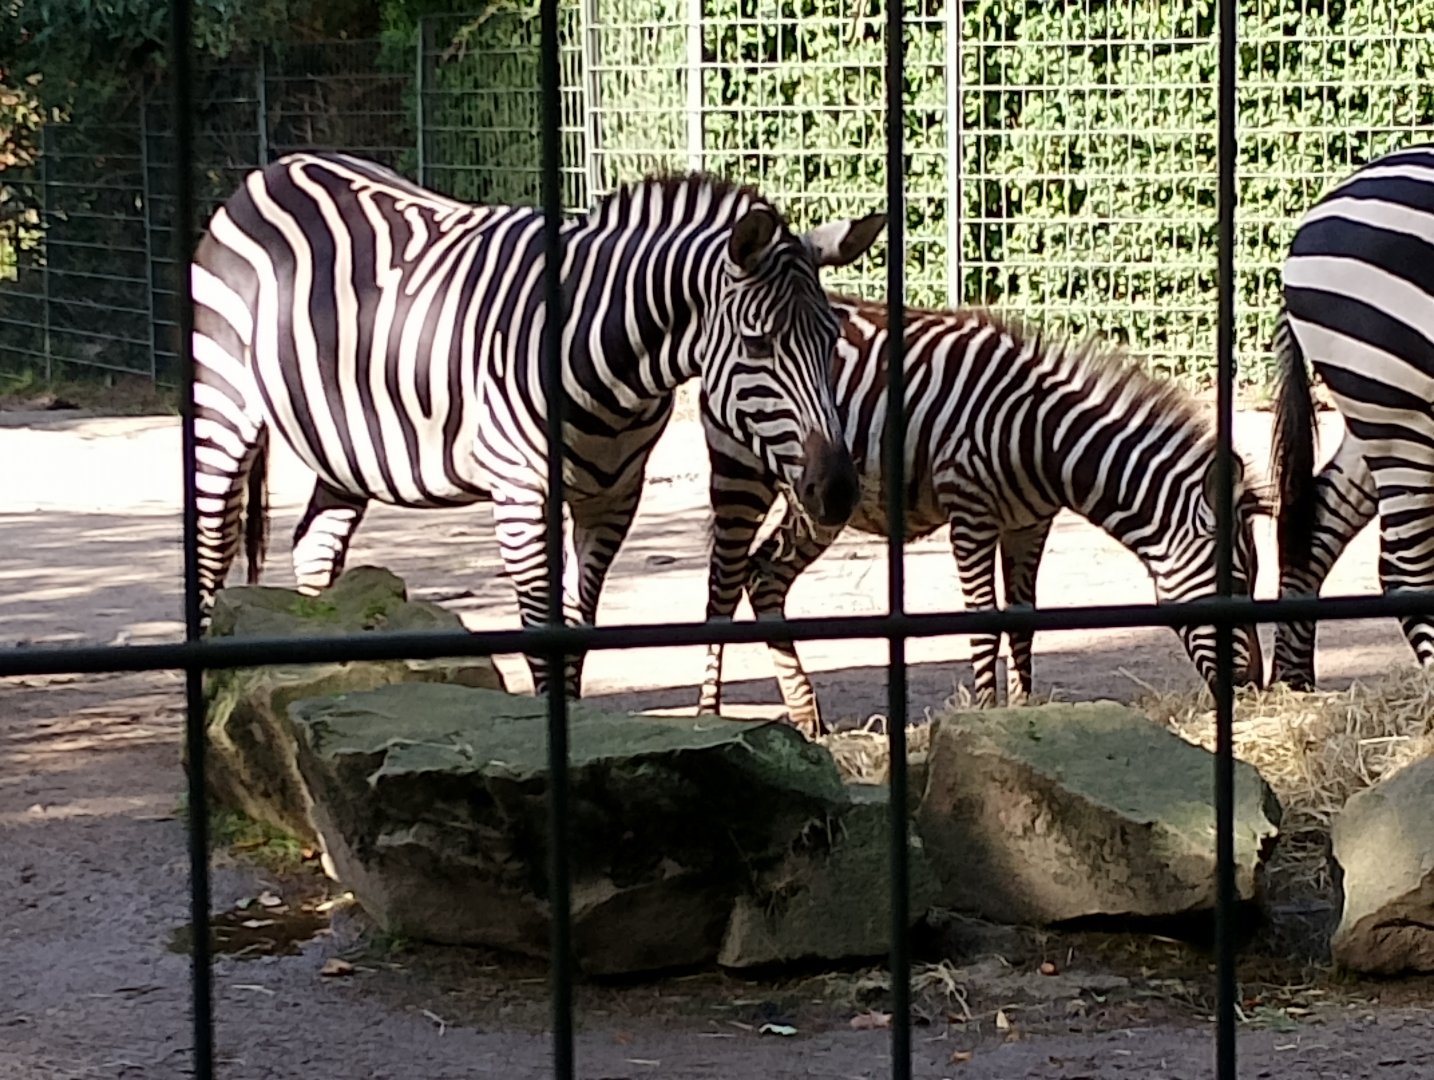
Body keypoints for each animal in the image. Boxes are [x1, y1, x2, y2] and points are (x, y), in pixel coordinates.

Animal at [190, 151, 886, 696]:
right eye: (757, 343)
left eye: (832, 341)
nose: (838, 491)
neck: (614, 367)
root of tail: (274, 169)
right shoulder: (523, 496)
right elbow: (542, 640)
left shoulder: (614, 498)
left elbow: (578, 634)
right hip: (223, 408)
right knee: (211, 550)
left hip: (346, 446)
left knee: (314, 545)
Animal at [696, 299, 1269, 736]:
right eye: (1237, 580)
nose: (1256, 687)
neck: (1043, 437)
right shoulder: (970, 514)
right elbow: (985, 624)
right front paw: (986, 715)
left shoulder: (1029, 525)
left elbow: (1023, 624)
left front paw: (1024, 714)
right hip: (742, 471)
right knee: (723, 588)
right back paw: (708, 719)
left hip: (818, 501)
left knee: (764, 576)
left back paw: (806, 719)